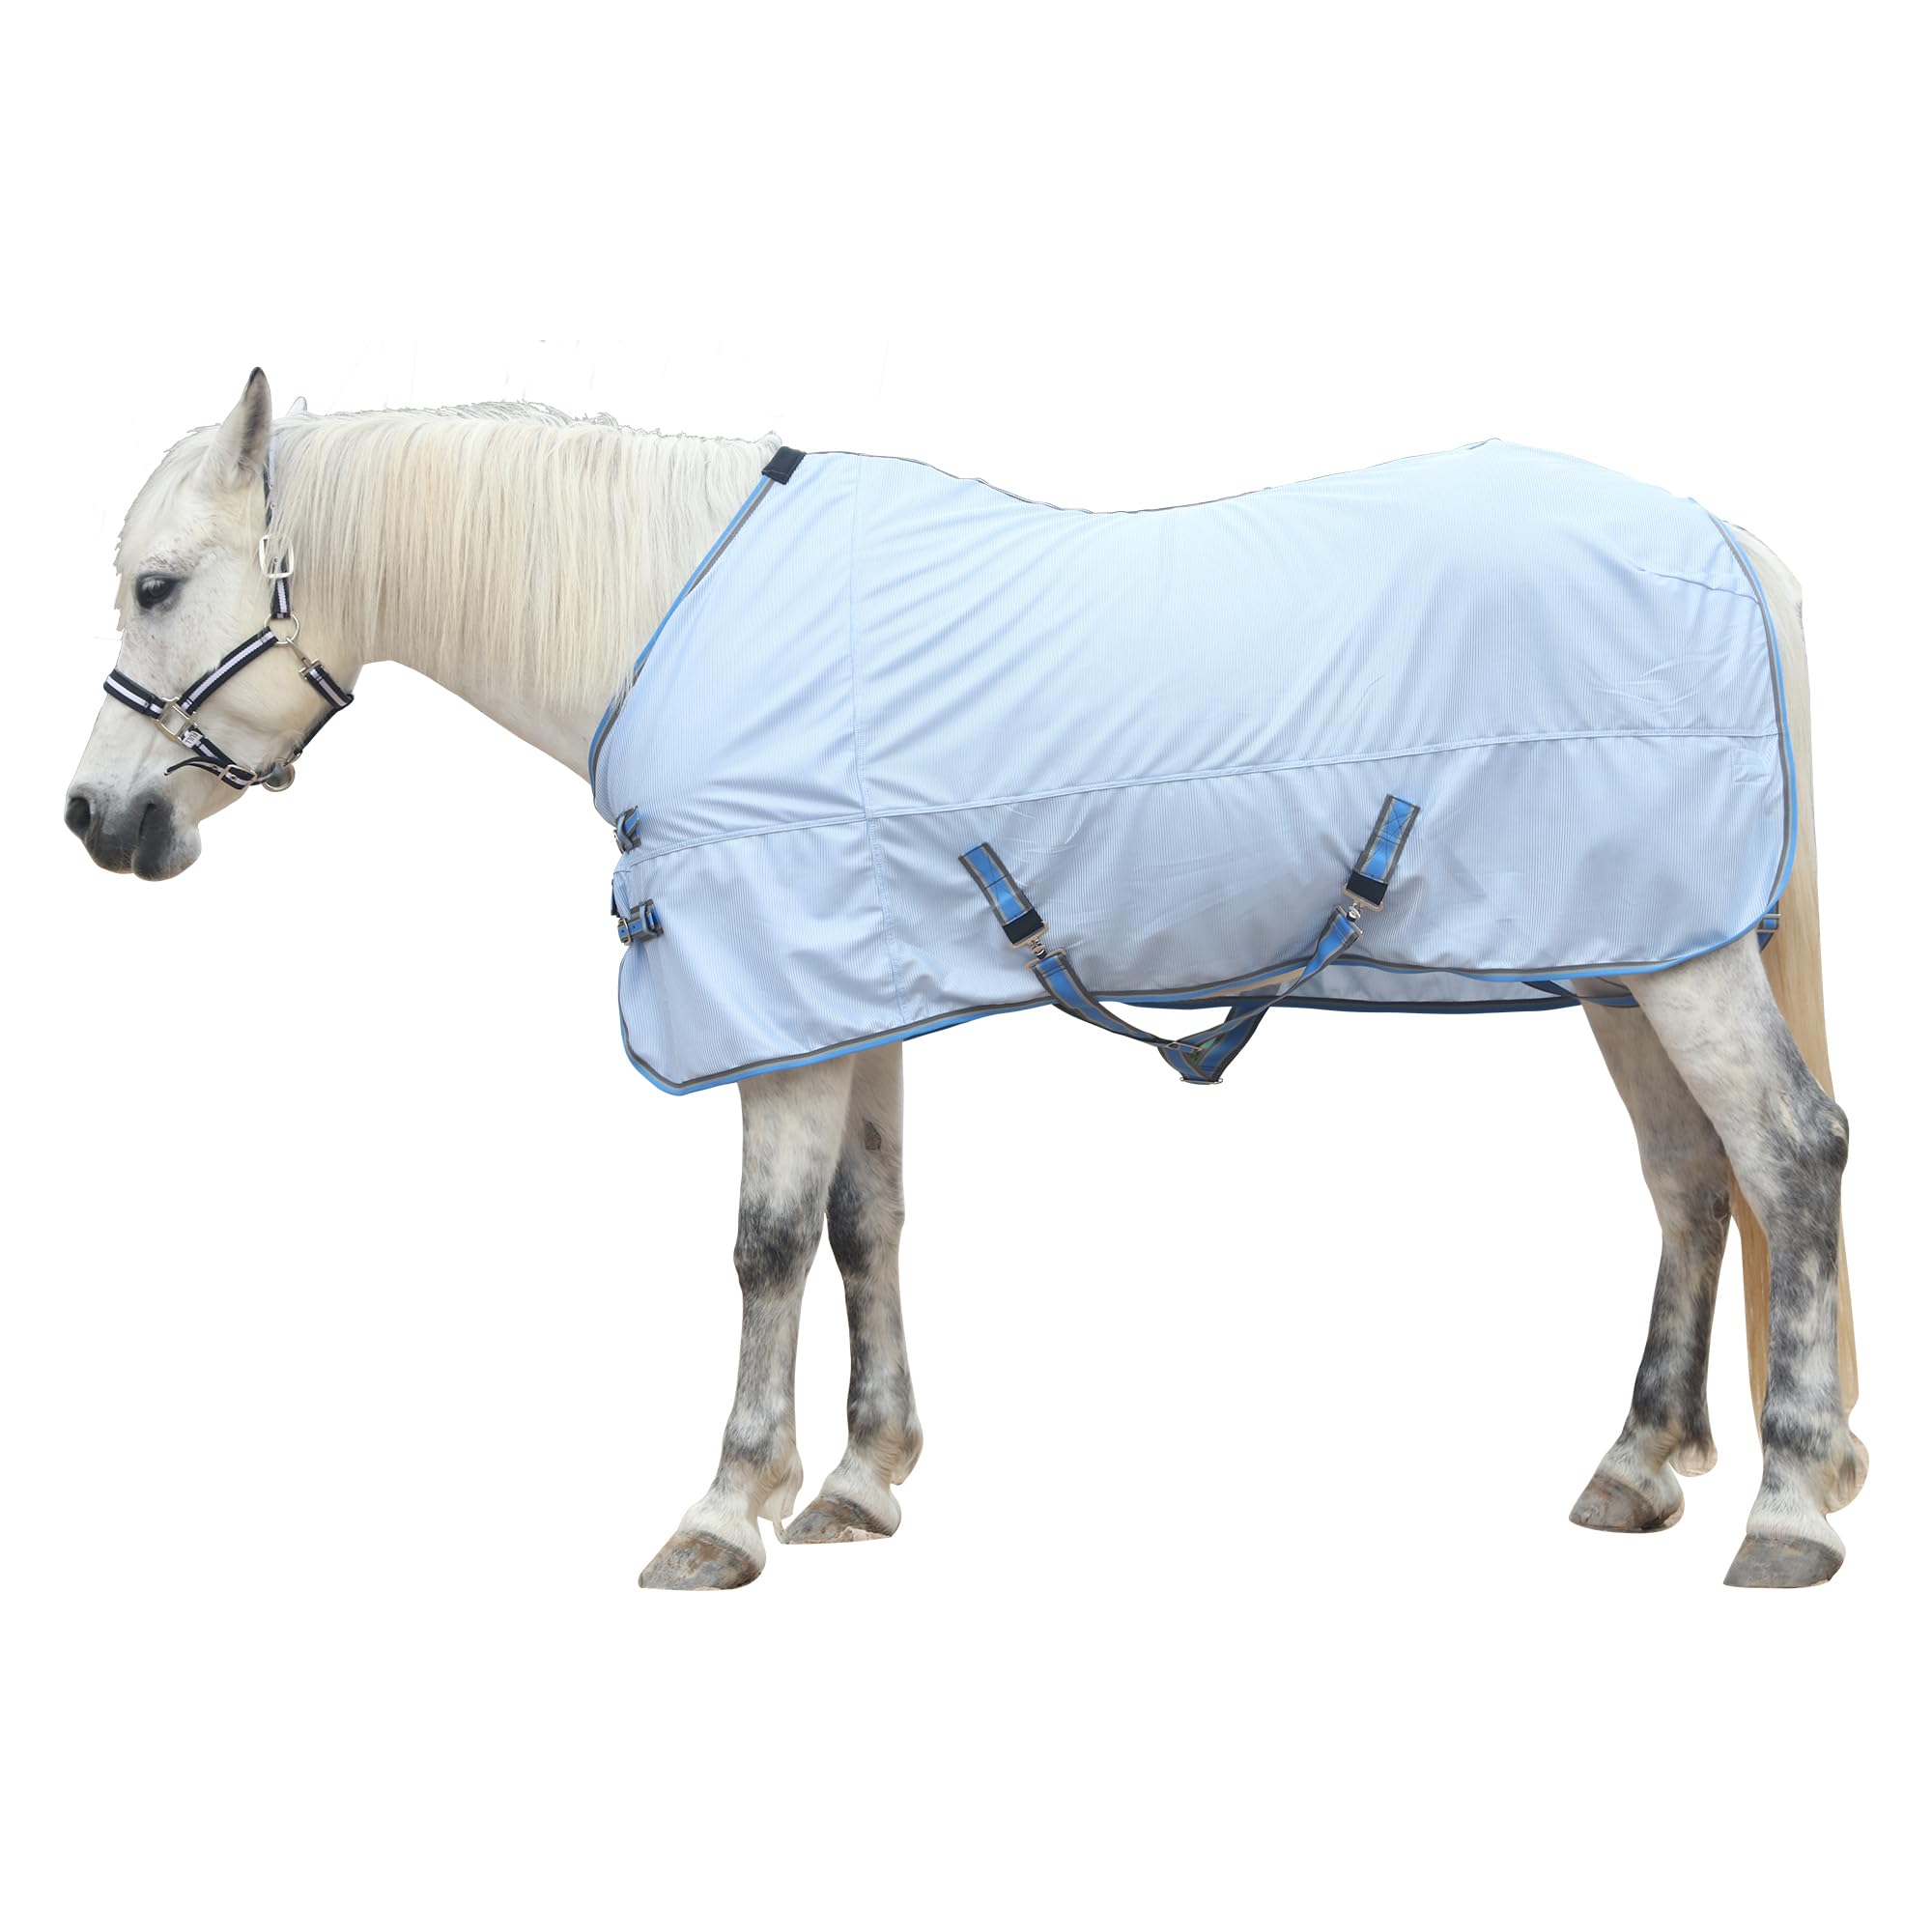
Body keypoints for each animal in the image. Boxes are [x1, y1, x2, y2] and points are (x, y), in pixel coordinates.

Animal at [65, 371, 1867, 1590]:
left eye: (156, 585)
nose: (95, 820)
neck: (667, 611)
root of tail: (1719, 535)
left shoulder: (775, 996)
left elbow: (767, 1244)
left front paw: (724, 1509)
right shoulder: (847, 984)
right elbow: (865, 1222)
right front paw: (860, 1484)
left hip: (1685, 964)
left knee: (1790, 1155)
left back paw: (1785, 1506)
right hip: (1632, 959)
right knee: (1692, 1177)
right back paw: (1637, 1468)